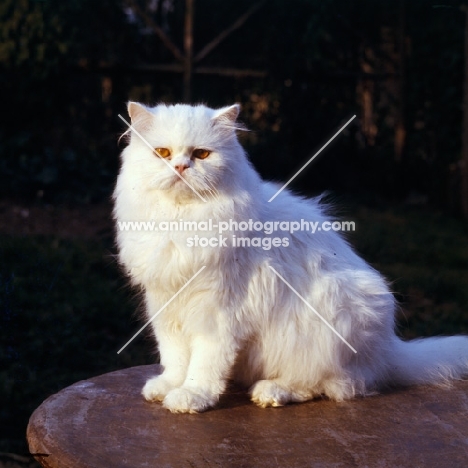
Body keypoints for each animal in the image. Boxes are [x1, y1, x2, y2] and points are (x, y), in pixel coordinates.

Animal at [113, 102, 468, 414]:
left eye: (201, 154)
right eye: (162, 153)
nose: (180, 167)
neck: (181, 221)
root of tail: (388, 351)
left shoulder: (219, 312)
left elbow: (204, 363)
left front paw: (191, 396)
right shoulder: (164, 304)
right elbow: (174, 355)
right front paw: (167, 386)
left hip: (331, 311)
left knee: (332, 385)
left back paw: (271, 392)